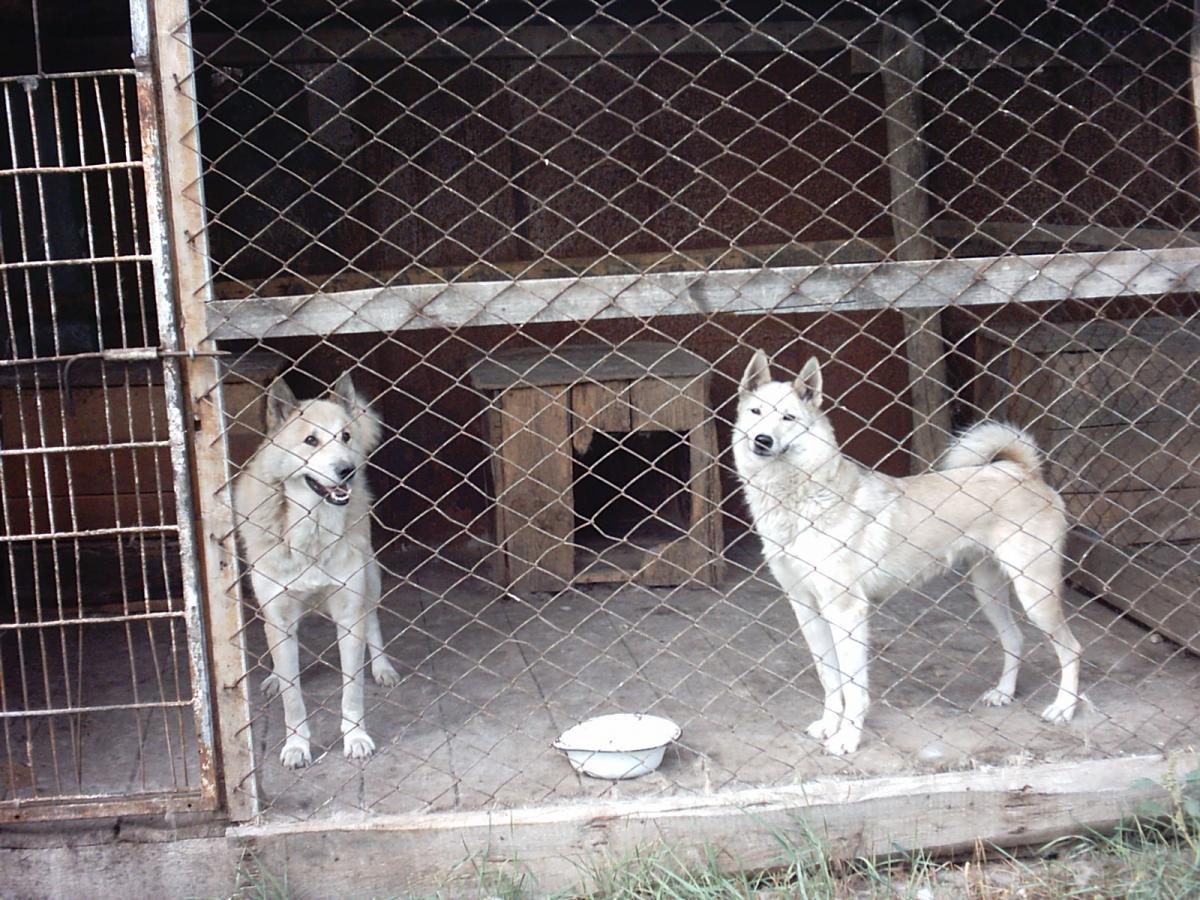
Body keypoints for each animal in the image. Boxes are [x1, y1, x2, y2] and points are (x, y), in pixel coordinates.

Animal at [232, 374, 398, 768]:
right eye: (311, 440)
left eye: (346, 436)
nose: (346, 470)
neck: (312, 531)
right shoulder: (278, 616)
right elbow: (293, 699)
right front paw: (296, 746)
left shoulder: (348, 613)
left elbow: (352, 690)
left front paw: (356, 738)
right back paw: (274, 677)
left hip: (370, 579)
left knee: (373, 620)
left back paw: (382, 667)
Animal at [724, 348, 1084, 758]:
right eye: (756, 412)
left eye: (789, 418)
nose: (762, 440)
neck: (798, 498)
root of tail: (1024, 472)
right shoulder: (805, 606)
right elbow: (829, 677)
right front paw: (830, 725)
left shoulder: (847, 611)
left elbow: (853, 686)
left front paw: (848, 738)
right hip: (988, 589)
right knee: (1015, 639)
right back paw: (1004, 693)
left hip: (1035, 593)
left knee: (1072, 648)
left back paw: (1063, 708)